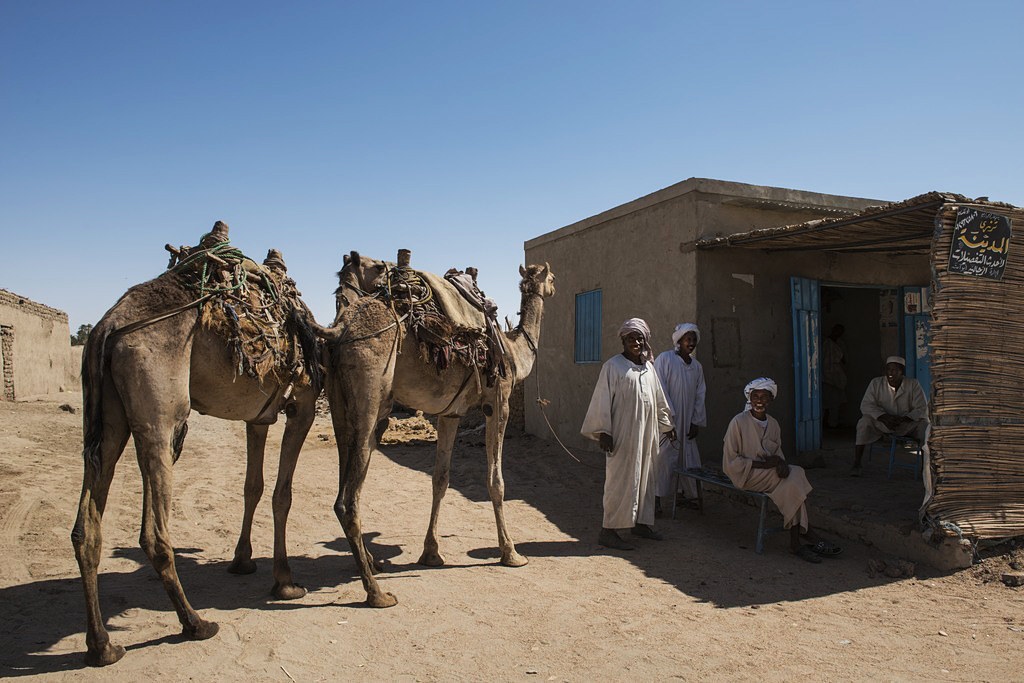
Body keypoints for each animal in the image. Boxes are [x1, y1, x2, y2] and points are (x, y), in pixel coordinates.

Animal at [70, 224, 382, 666]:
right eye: (377, 266)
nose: (392, 273)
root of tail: (105, 329)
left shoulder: (258, 417)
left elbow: (252, 487)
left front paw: (242, 561)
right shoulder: (302, 406)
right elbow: (282, 494)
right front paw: (285, 581)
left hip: (105, 420)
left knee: (86, 525)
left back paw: (102, 645)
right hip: (160, 416)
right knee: (154, 532)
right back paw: (195, 623)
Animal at [320, 259, 555, 607]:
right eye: (550, 276)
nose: (555, 286)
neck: (514, 352)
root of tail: (340, 329)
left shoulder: (450, 413)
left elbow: (440, 479)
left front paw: (431, 553)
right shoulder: (498, 402)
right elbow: (496, 481)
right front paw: (511, 552)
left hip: (338, 403)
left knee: (342, 485)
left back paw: (371, 564)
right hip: (370, 397)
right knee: (348, 501)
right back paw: (376, 592)